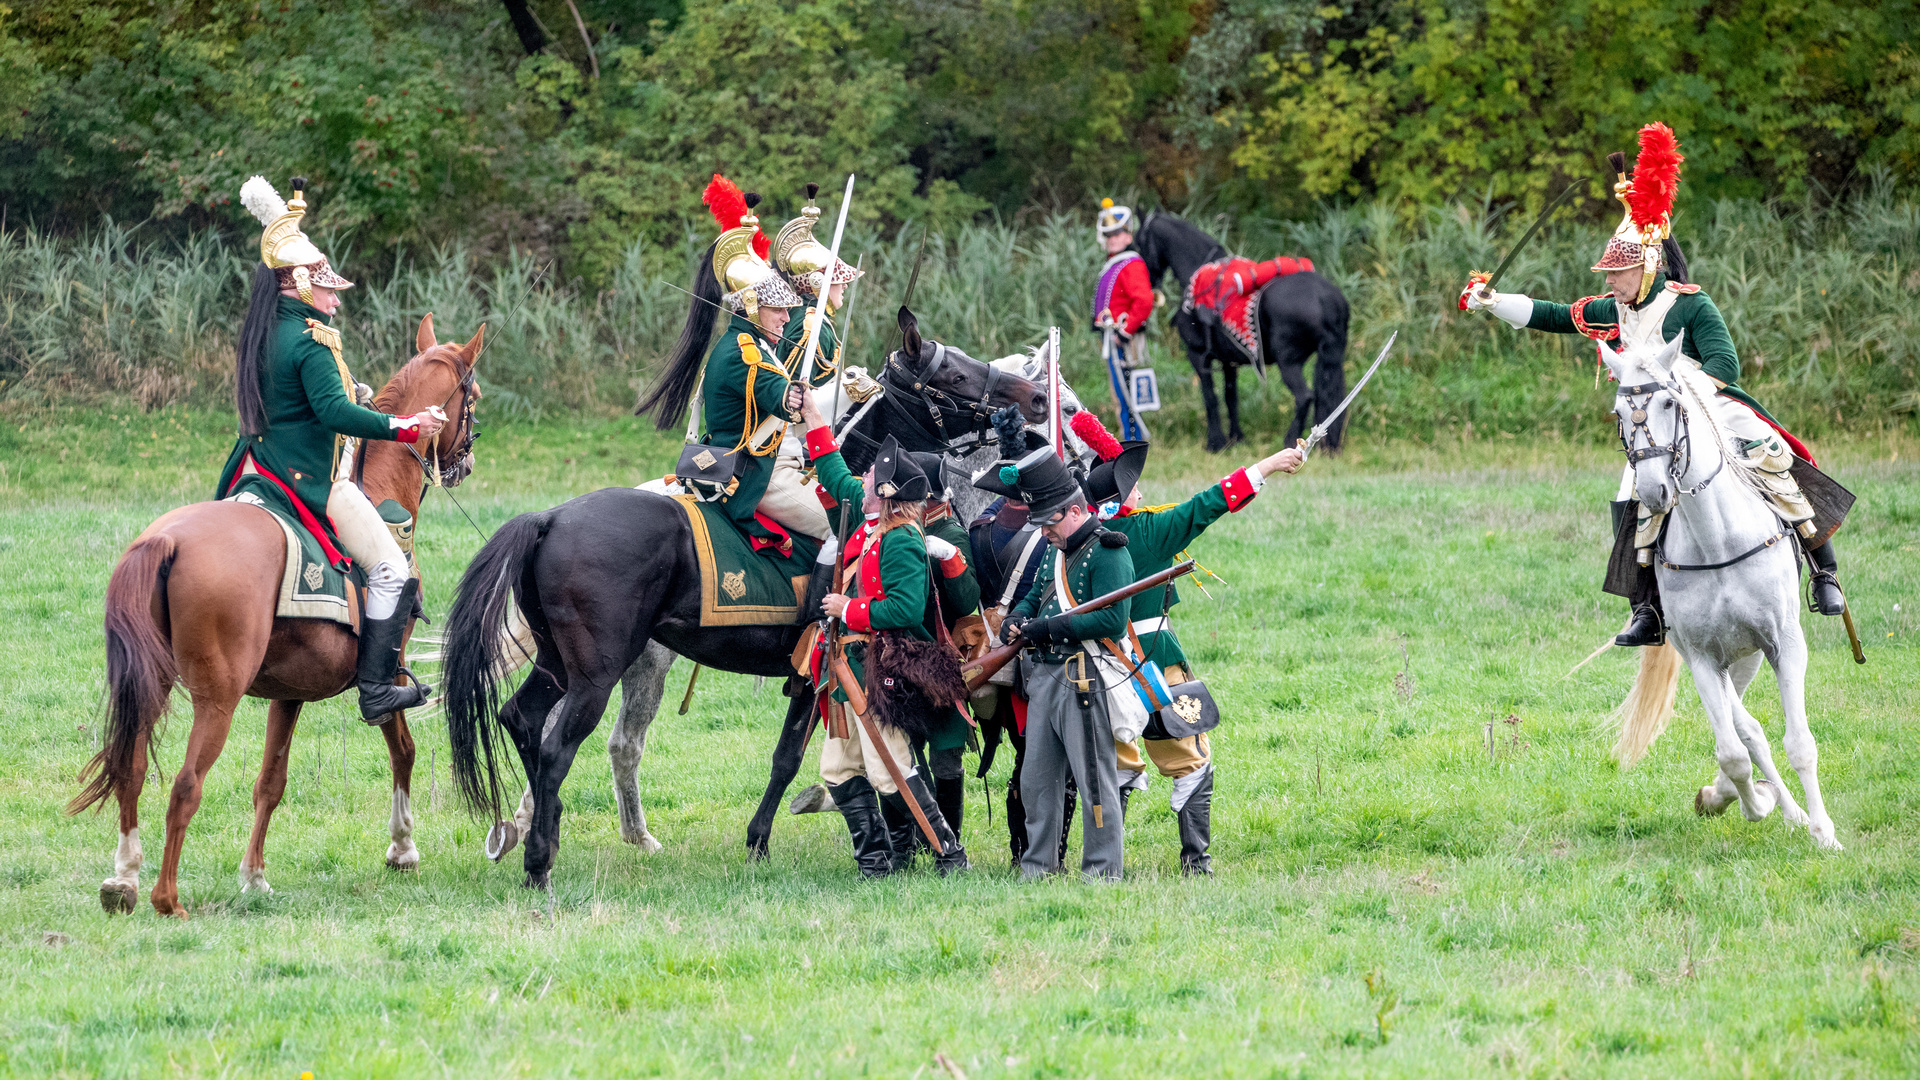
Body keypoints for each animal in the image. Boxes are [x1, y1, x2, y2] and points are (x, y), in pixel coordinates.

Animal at [71, 313, 483, 914]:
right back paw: (167, 899)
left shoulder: (289, 692)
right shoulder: (388, 670)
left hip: (153, 682)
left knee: (133, 767)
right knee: (186, 784)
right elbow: (403, 750)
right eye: (472, 398)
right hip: (217, 698)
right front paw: (402, 848)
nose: (464, 462)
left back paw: (123, 881)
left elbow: (271, 781)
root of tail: (166, 539)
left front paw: (255, 876)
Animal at [441, 307, 1044, 887]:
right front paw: (763, 839)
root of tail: (549, 518)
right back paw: (540, 860)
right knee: (558, 747)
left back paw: (542, 830)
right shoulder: (818, 673)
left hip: (559, 664)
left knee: (522, 719)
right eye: (954, 375)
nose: (1035, 403)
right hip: (598, 675)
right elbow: (791, 757)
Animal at [1128, 210, 1359, 449]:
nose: (1149, 281)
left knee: (1305, 396)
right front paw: (1236, 438)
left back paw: (1290, 440)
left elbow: (1210, 398)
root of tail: (1325, 296)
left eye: (1138, 242)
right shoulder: (1228, 361)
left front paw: (1215, 442)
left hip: (1289, 362)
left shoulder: (1198, 357)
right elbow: (1231, 397)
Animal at [1597, 332, 1835, 845]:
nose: (1653, 493)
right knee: (1747, 730)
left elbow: (1800, 742)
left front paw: (1825, 833)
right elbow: (1735, 750)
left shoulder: (1784, 643)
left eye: (1670, 401)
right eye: (1619, 412)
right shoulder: (1703, 658)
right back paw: (1755, 801)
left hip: (1749, 655)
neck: (1716, 540)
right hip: (1724, 658)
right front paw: (1752, 803)